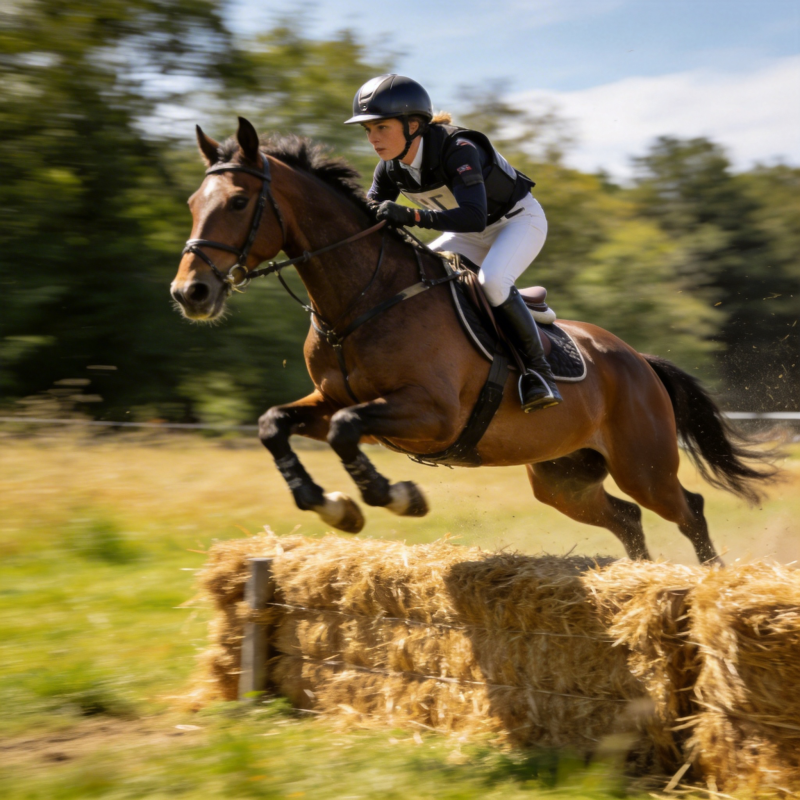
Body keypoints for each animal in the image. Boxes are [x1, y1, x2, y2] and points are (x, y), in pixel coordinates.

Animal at [170, 117, 775, 565]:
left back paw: (711, 581)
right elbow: (275, 424)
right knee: (626, 518)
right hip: (562, 477)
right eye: (194, 202)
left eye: (239, 202)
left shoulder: (431, 414)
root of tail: (639, 361)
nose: (190, 293)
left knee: (689, 509)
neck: (362, 301)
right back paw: (638, 580)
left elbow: (344, 431)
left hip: (643, 464)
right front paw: (333, 507)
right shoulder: (334, 401)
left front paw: (397, 498)